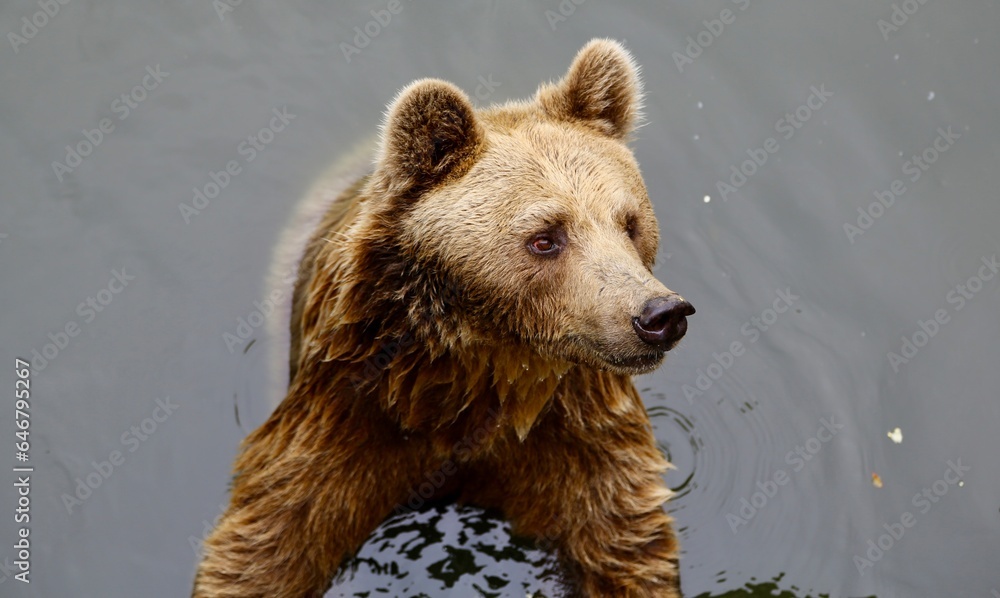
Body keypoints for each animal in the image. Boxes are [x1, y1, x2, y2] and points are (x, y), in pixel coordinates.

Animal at [193, 38, 694, 598]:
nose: (658, 314)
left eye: (629, 223)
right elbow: (273, 533)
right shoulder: (348, 411)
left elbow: (623, 537)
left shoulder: (580, 429)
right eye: (545, 237)